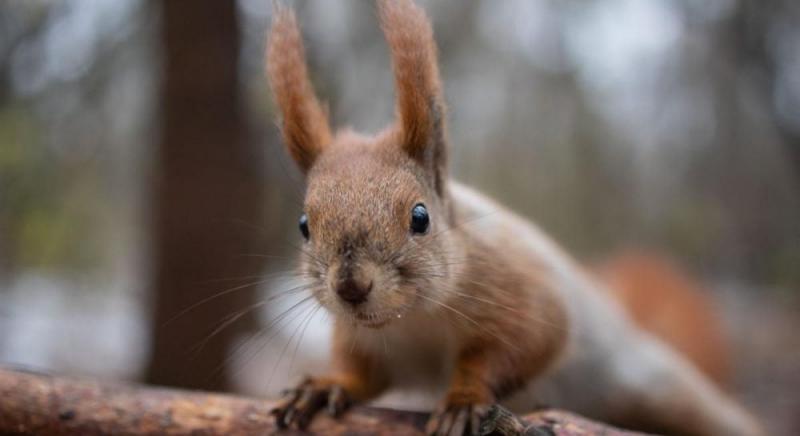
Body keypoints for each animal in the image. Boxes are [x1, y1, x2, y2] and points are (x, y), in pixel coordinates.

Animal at [264, 1, 764, 434]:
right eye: (304, 225)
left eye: (420, 217)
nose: (351, 287)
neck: (414, 320)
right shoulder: (365, 340)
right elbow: (362, 373)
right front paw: (325, 385)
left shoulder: (519, 292)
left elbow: (519, 347)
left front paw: (464, 399)